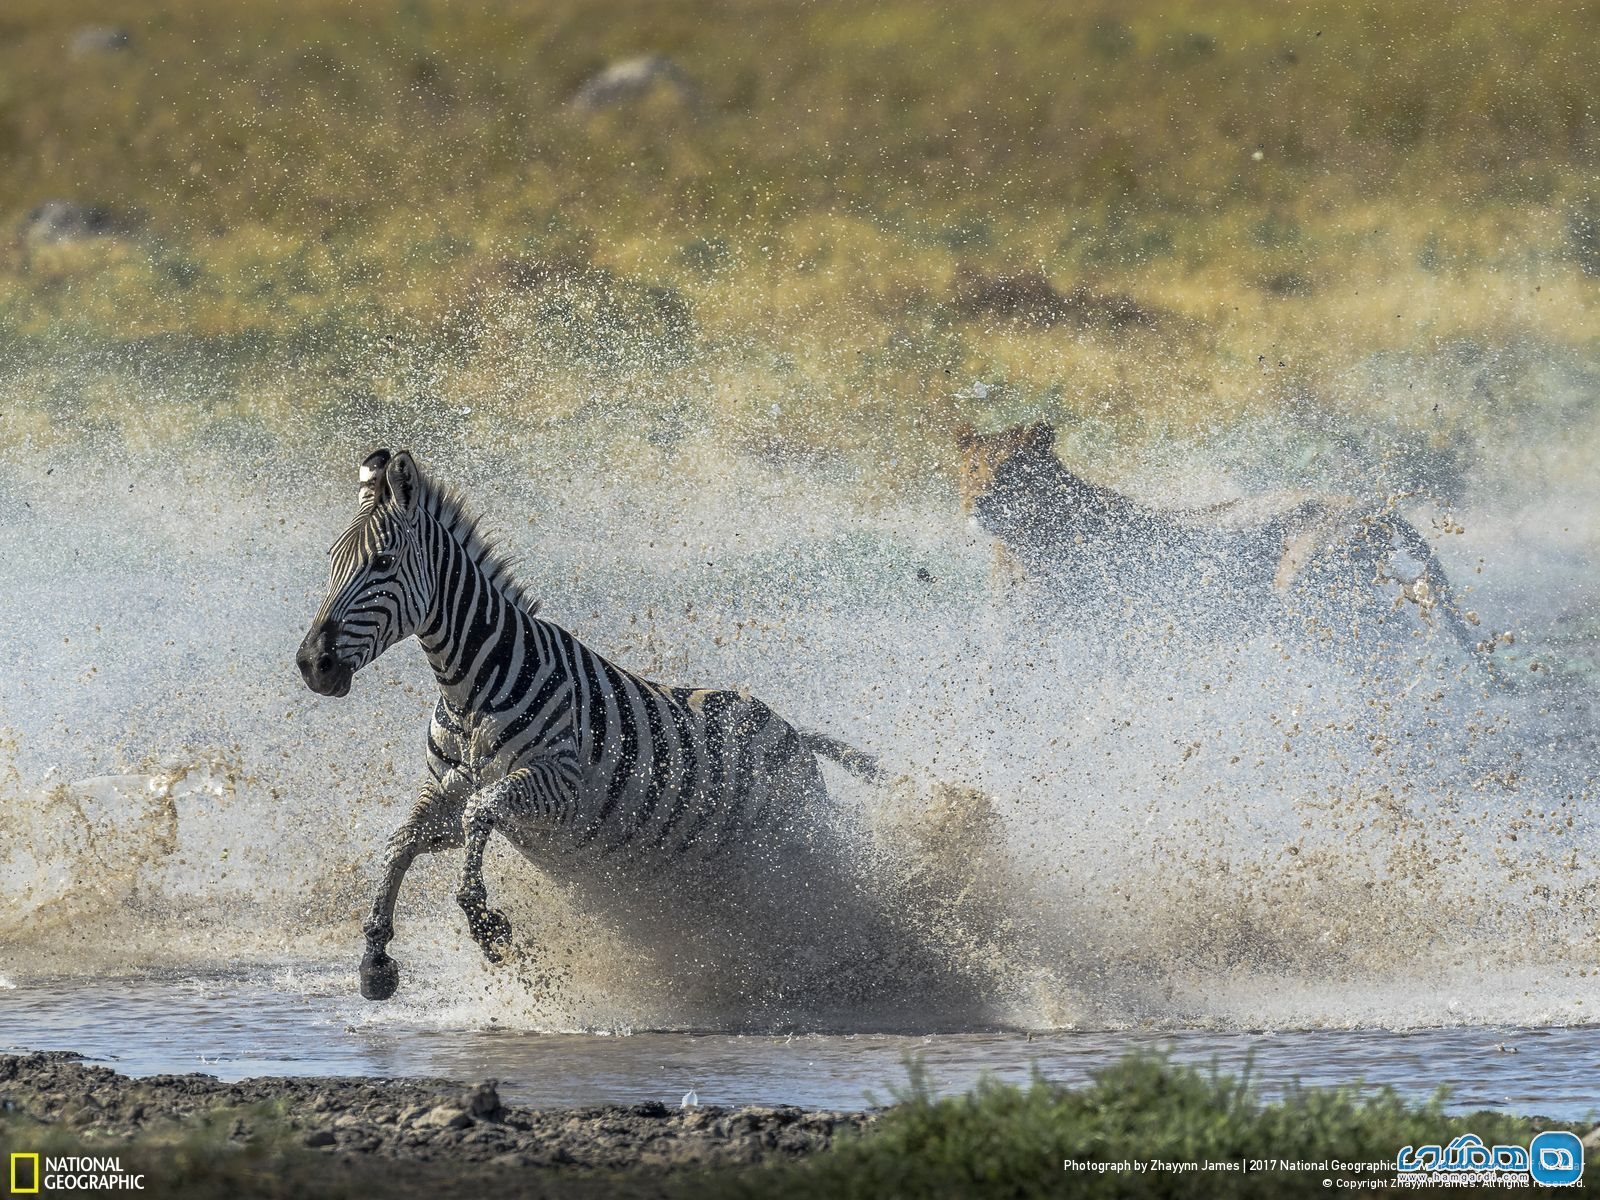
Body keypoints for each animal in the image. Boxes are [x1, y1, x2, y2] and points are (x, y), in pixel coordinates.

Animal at [296, 451, 902, 1004]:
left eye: (382, 562)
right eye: (331, 561)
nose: (311, 665)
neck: (468, 688)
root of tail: (793, 733)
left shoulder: (558, 785)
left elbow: (480, 813)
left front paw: (488, 928)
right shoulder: (446, 792)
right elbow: (401, 842)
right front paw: (375, 959)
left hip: (790, 849)